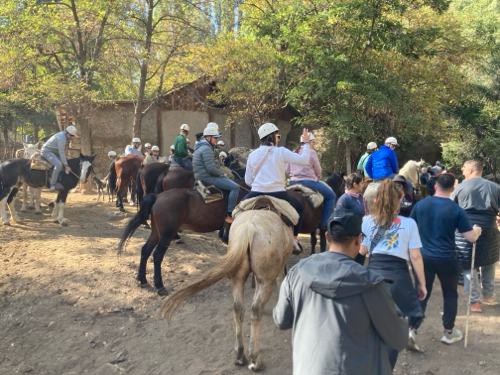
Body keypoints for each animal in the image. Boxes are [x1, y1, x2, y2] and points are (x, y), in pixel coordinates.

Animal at [117, 181, 250, 296]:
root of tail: (157, 196)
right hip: (167, 235)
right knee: (157, 255)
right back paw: (160, 286)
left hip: (156, 233)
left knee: (145, 250)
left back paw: (142, 279)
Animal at [160, 210, 292, 372]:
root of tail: (249, 226)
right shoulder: (279, 267)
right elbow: (281, 281)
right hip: (265, 280)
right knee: (255, 310)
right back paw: (255, 360)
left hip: (237, 278)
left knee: (238, 309)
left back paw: (240, 355)